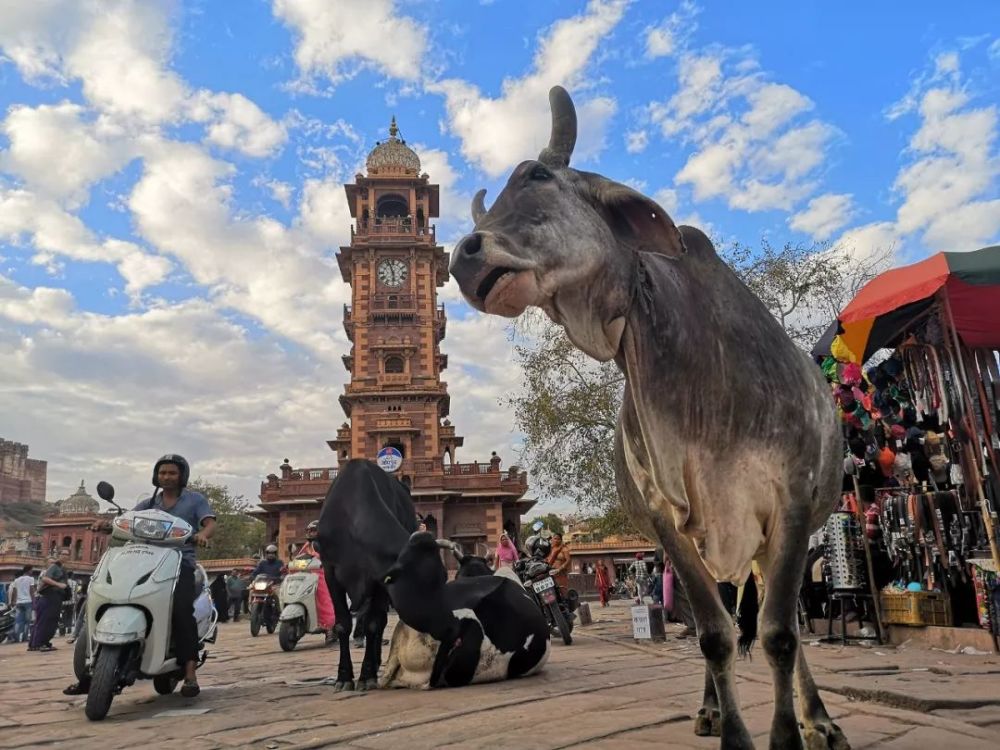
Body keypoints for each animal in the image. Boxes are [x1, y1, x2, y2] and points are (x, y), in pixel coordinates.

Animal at [316, 458, 418, 692]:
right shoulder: (330, 572)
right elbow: (343, 624)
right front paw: (344, 677)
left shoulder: (380, 579)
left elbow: (373, 624)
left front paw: (366, 676)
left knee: (378, 622)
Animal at [454, 83, 852, 750]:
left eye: (536, 175)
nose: (465, 256)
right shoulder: (669, 521)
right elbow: (714, 635)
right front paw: (736, 735)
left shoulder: (792, 503)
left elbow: (779, 633)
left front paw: (793, 732)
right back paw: (711, 709)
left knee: (784, 625)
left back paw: (817, 718)